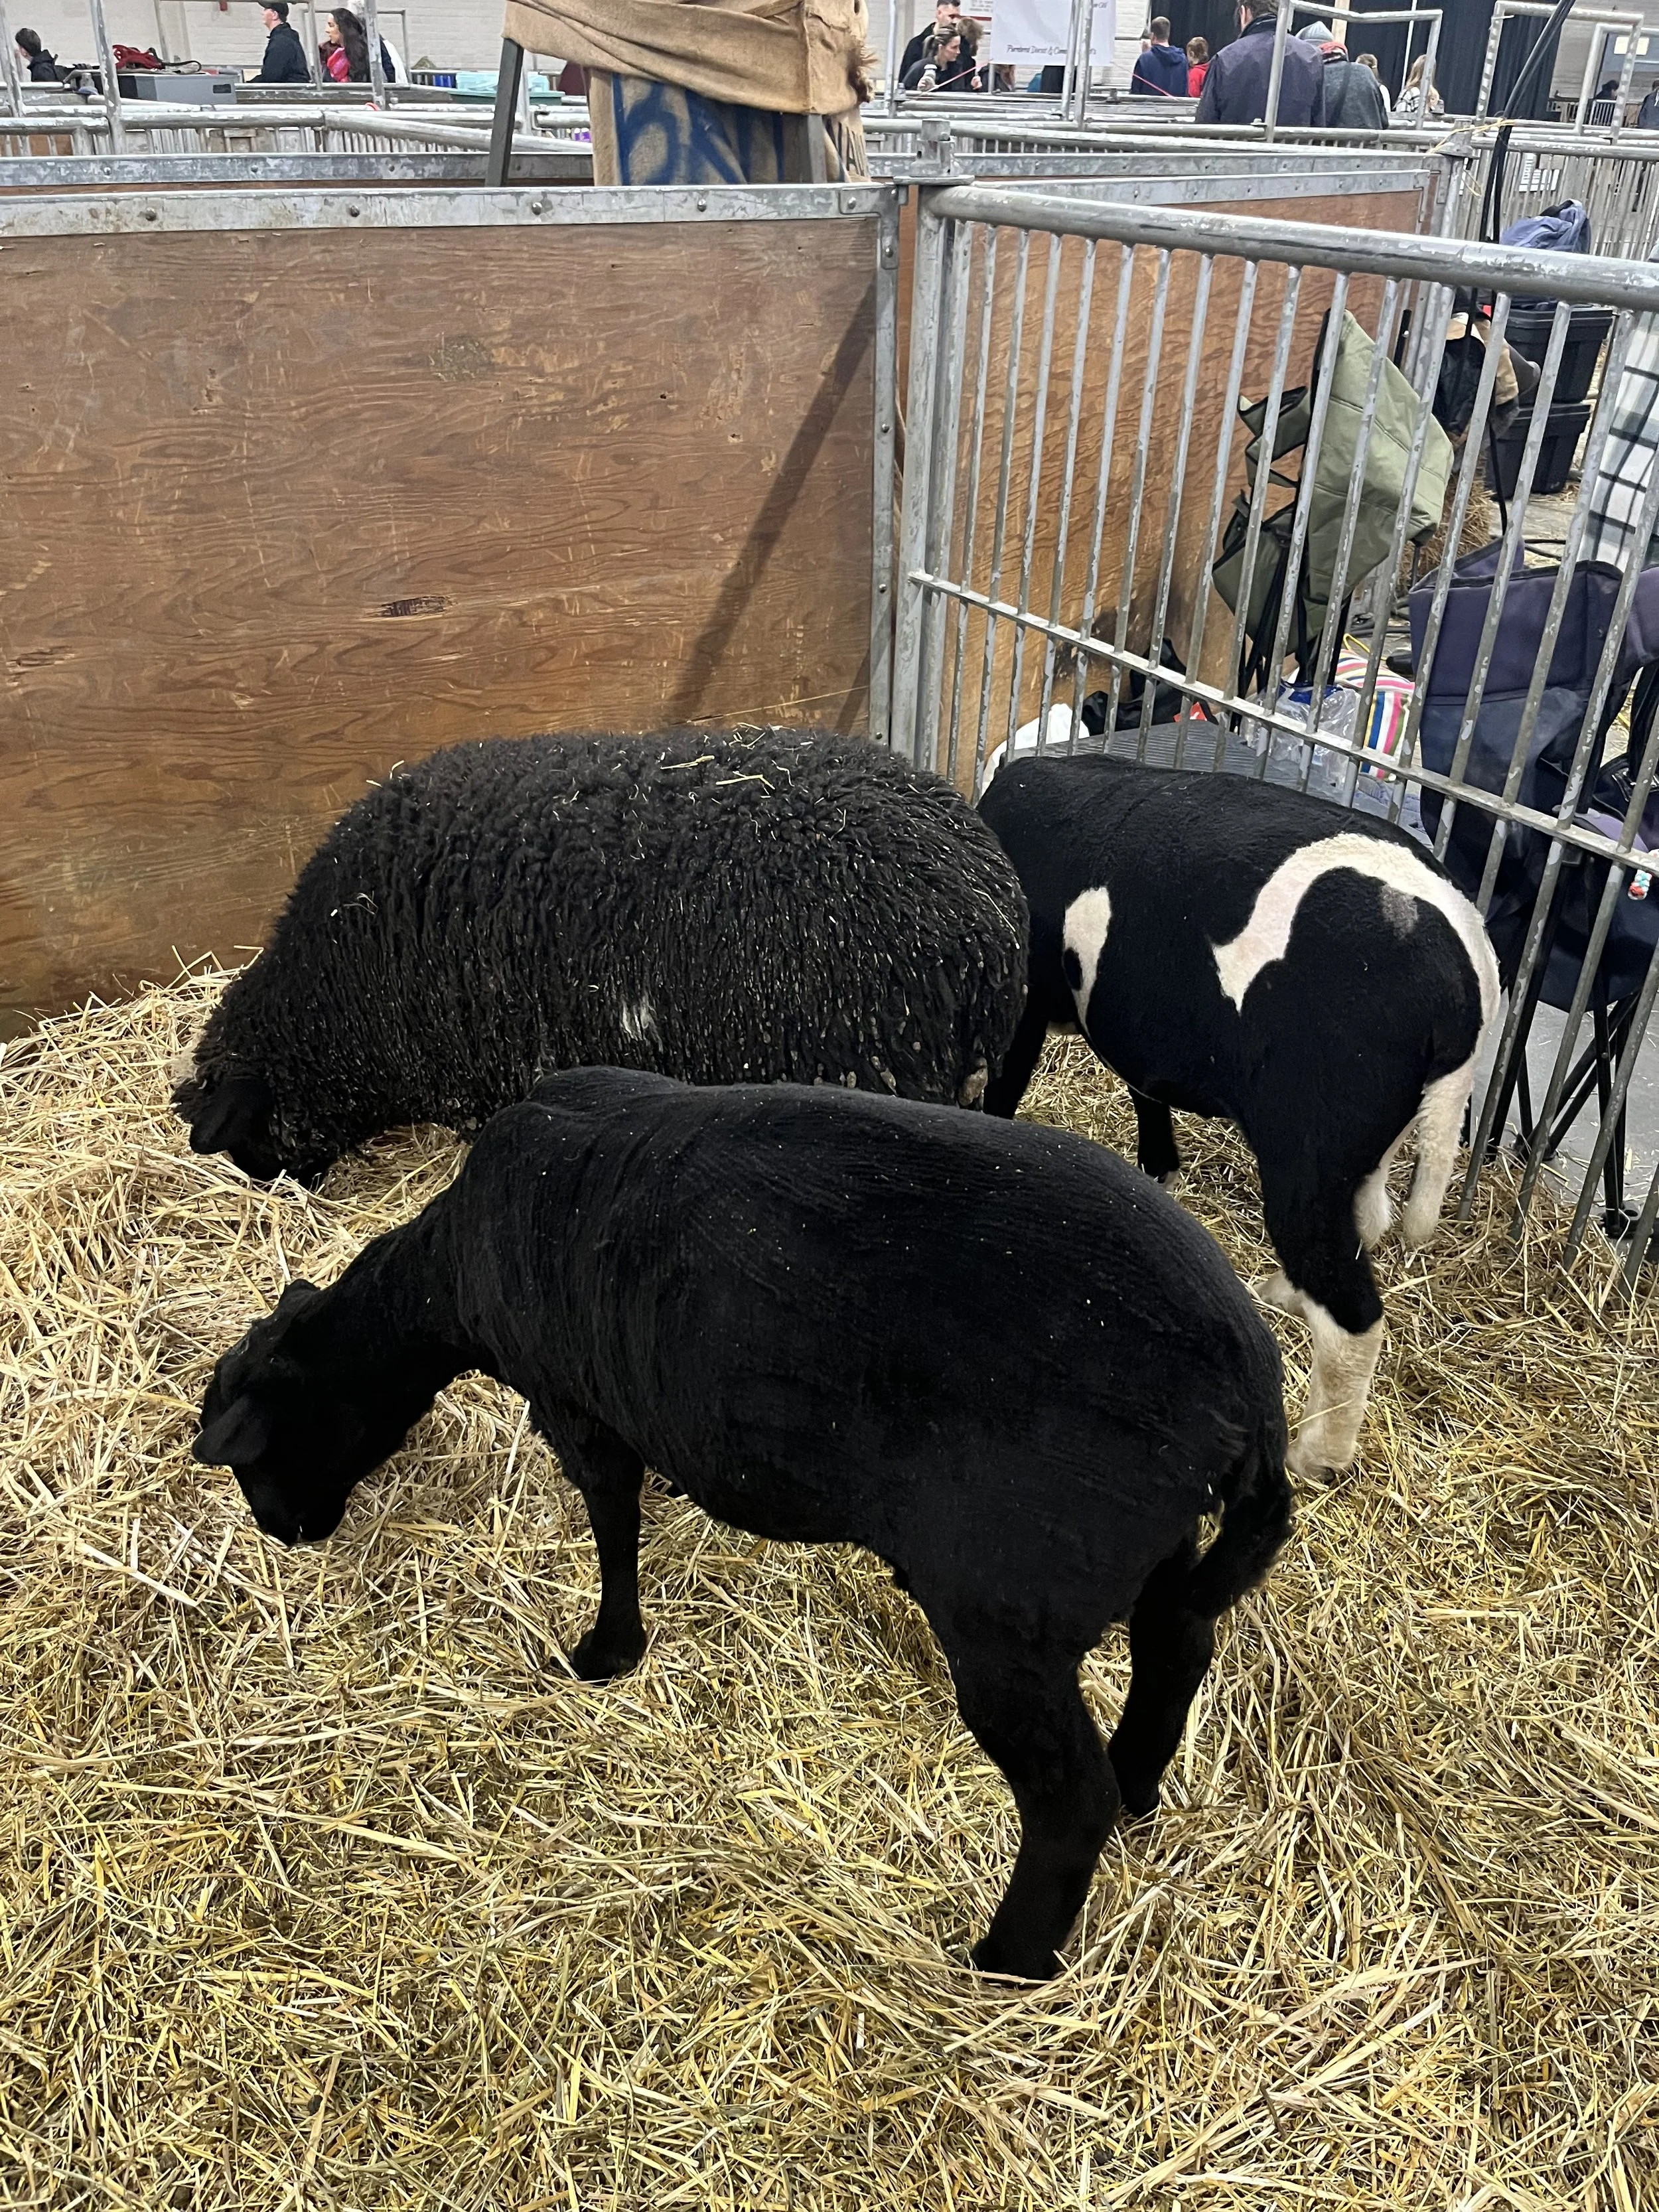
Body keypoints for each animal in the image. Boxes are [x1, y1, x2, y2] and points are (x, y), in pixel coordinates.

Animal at [194, 1069, 1293, 1983]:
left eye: (253, 1453)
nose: (285, 1533)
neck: (447, 1277)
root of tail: (1246, 1378)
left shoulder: (573, 1404)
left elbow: (612, 1522)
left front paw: (605, 1651)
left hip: (1008, 1601)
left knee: (1069, 1798)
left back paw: (1008, 1959)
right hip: (1149, 1551)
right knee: (1178, 1645)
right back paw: (1142, 1783)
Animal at [977, 756, 1500, 1481]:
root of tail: (1464, 986)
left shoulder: (1025, 1001)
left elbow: (1006, 1089)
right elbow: (1146, 1092)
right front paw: (1159, 1171)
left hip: (1309, 1145)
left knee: (1353, 1310)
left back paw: (1314, 1457)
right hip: (1363, 1143)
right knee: (1364, 1224)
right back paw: (1282, 1293)